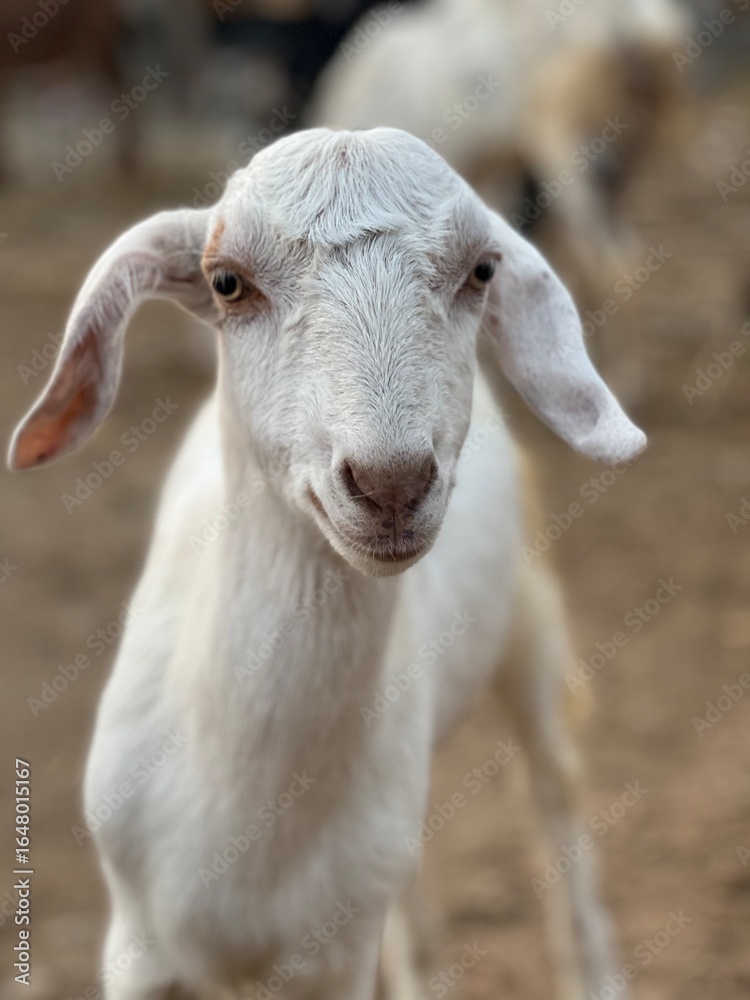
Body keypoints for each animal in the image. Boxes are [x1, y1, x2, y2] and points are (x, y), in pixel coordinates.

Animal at [9, 127, 645, 1000]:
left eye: (482, 271)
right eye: (226, 282)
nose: (391, 482)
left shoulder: (334, 960)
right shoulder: (136, 945)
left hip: (531, 621)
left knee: (556, 787)